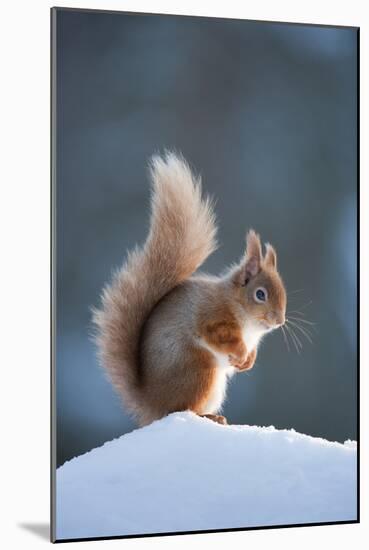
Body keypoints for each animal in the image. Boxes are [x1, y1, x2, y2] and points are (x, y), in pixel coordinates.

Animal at [92, 153, 288, 430]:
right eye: (260, 294)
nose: (279, 321)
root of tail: (152, 404)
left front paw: (247, 362)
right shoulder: (213, 317)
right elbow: (220, 335)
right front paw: (240, 354)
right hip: (200, 370)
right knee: (182, 408)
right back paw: (208, 416)